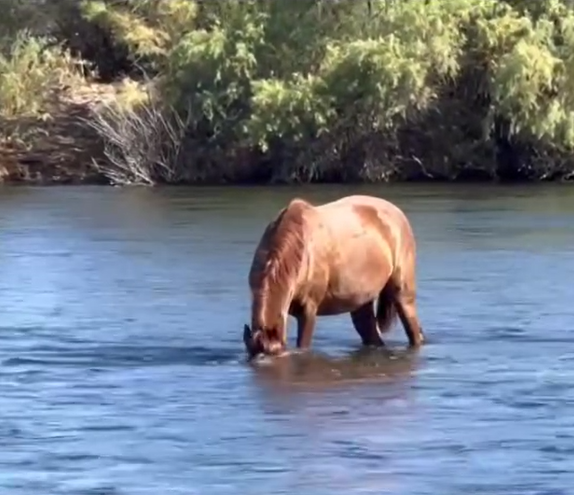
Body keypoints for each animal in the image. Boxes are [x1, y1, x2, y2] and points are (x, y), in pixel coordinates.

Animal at [241, 194, 426, 360]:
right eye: (250, 355)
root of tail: (398, 214)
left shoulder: (308, 309)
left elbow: (303, 345)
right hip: (361, 300)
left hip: (402, 291)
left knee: (414, 331)